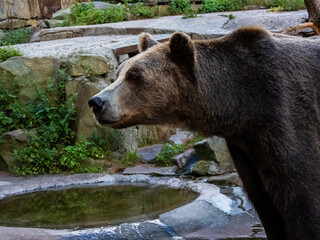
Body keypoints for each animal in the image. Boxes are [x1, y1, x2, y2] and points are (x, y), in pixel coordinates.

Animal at [89, 27, 320, 239]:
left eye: (135, 76)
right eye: (118, 74)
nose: (96, 102)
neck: (241, 104)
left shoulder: (284, 115)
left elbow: (303, 196)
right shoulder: (246, 147)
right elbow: (265, 203)